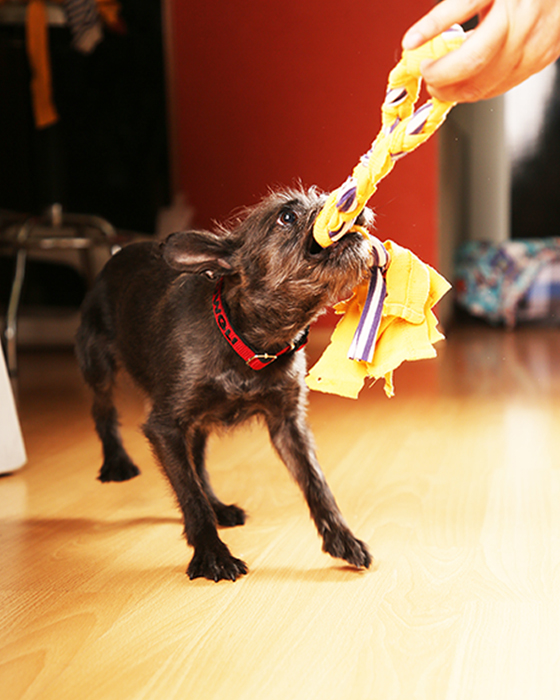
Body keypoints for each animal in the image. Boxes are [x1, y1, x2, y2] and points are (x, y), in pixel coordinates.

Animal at [74, 186, 372, 580]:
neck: (247, 338)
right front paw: (212, 554)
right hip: (99, 365)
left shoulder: (287, 425)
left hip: (200, 422)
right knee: (102, 410)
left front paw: (343, 539)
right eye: (287, 217)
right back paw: (116, 462)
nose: (354, 202)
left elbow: (316, 483)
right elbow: (188, 493)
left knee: (198, 463)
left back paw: (219, 506)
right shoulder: (165, 427)